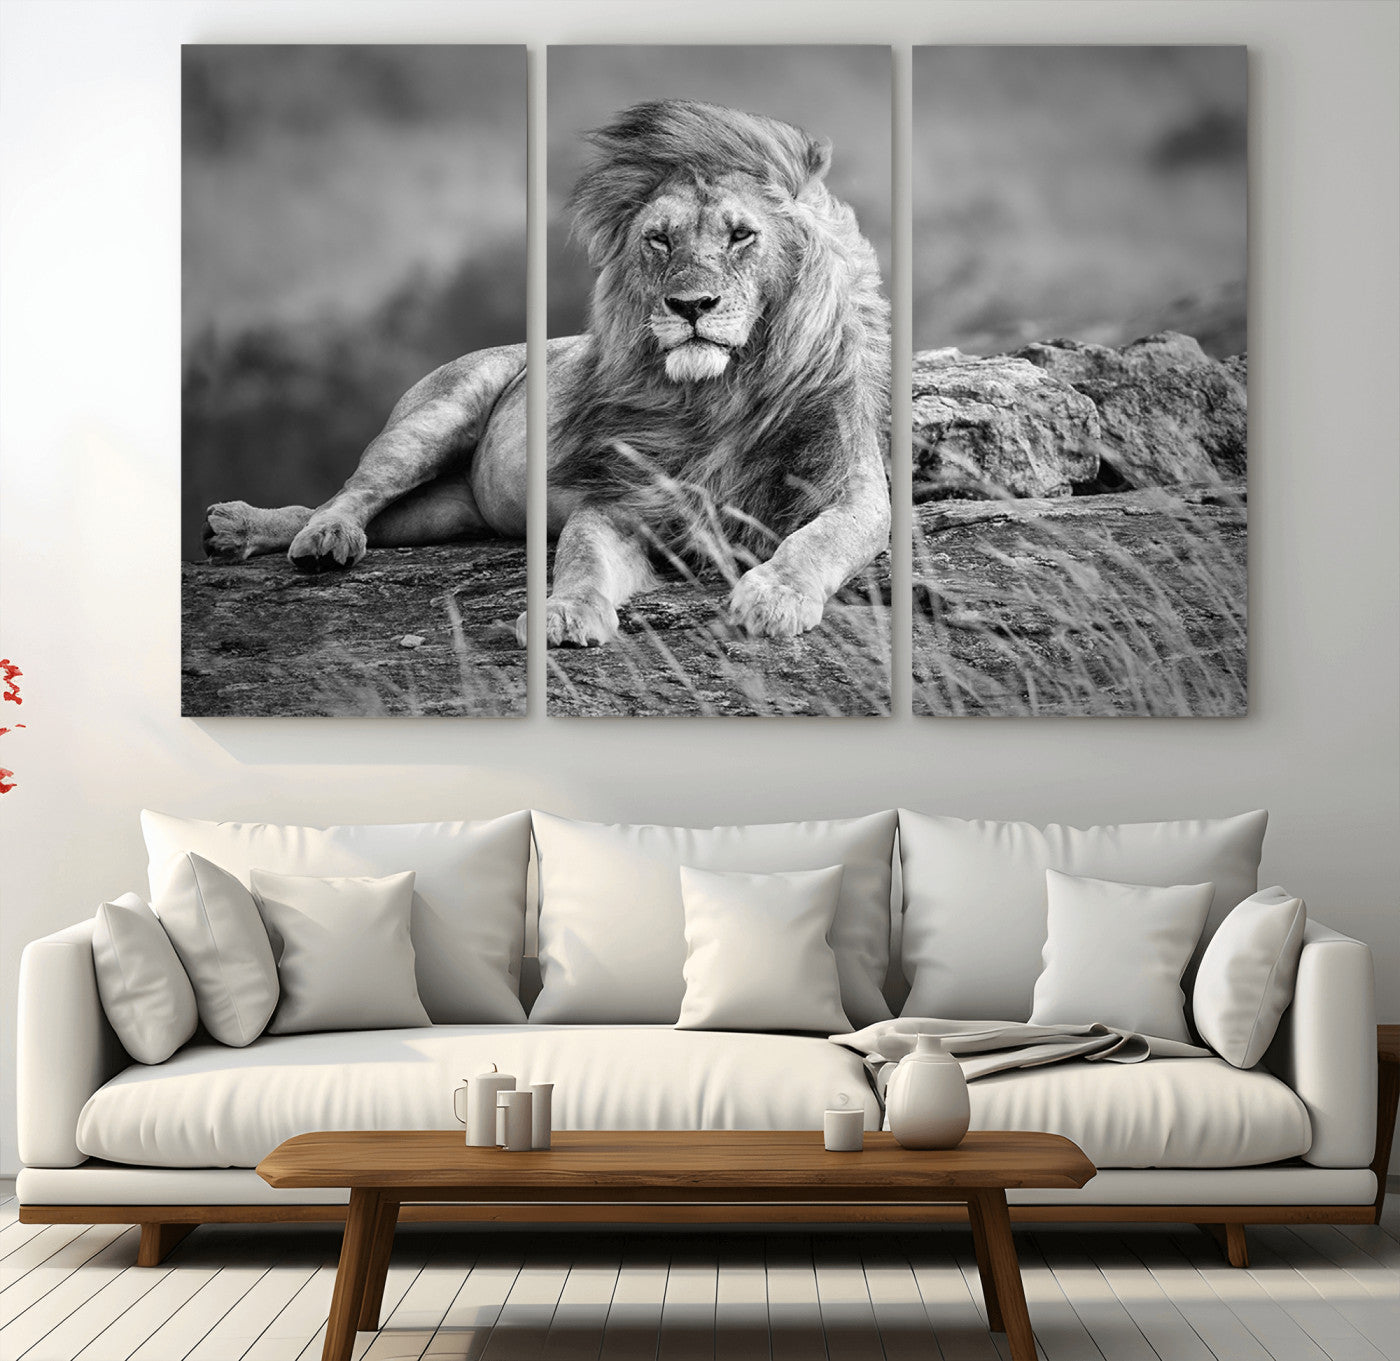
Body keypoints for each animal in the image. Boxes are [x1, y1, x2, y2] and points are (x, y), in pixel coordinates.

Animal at [203, 99, 890, 647]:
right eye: (659, 240)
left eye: (742, 234)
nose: (690, 305)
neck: (717, 395)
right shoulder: (615, 500)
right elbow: (580, 558)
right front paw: (563, 614)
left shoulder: (854, 491)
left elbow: (821, 539)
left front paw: (774, 596)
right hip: (434, 417)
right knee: (350, 493)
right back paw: (305, 535)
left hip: (444, 513)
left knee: (359, 512)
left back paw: (243, 531)